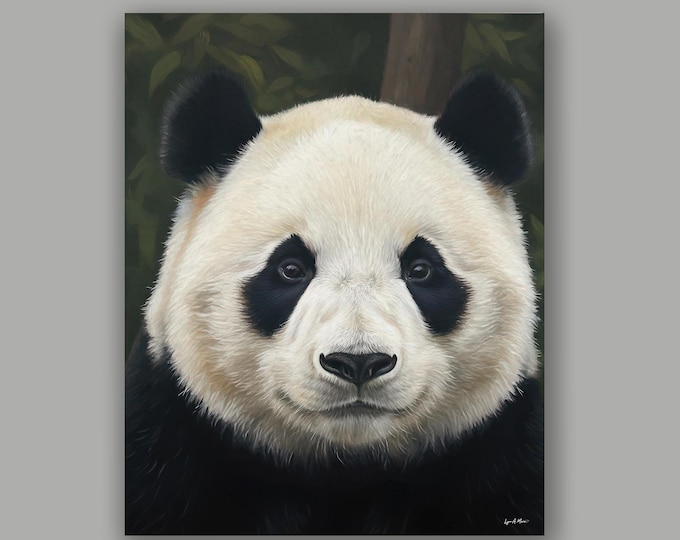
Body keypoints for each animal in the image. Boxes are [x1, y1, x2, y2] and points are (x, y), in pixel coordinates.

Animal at [125, 68, 543, 535]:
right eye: (291, 268)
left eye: (421, 269)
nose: (358, 362)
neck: (344, 470)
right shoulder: (166, 442)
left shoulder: (503, 452)